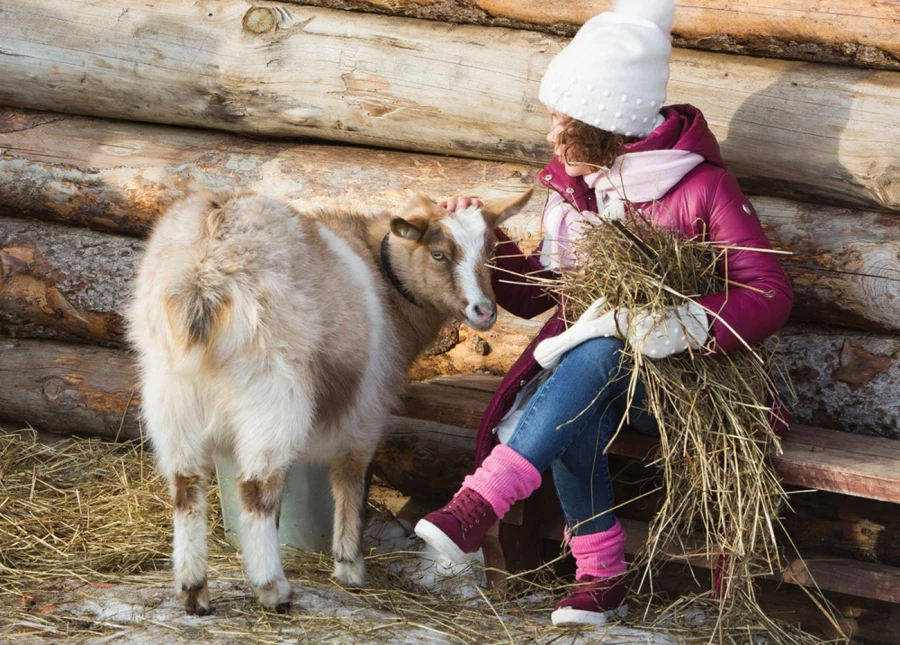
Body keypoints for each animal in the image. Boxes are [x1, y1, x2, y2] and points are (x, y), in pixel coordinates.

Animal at [127, 187, 536, 612]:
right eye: (438, 254)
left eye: (492, 252)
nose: (485, 312)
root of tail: (204, 272)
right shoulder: (368, 405)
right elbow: (350, 476)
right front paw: (349, 565)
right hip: (273, 389)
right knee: (255, 489)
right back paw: (272, 588)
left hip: (169, 388)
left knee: (186, 485)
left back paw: (194, 591)